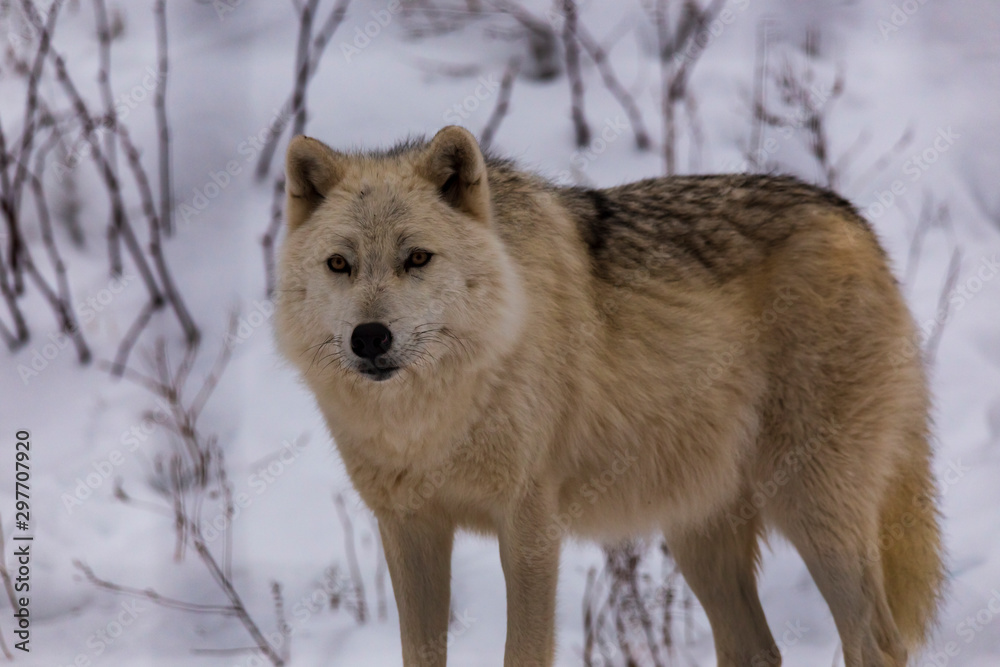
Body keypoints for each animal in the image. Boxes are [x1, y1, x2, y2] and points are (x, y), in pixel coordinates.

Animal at [275, 126, 944, 667]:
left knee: (878, 643)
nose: (369, 338)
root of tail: (850, 216)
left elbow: (524, 653)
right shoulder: (408, 529)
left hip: (813, 508)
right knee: (756, 649)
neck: (428, 423)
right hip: (700, 533)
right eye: (339, 264)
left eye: (416, 258)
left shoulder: (530, 528)